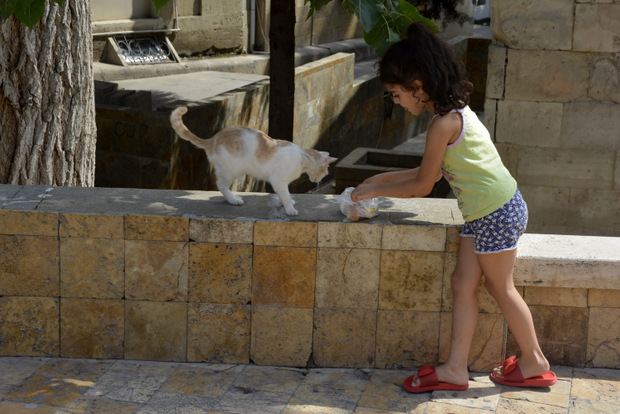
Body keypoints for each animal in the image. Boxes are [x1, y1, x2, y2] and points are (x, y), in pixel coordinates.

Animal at [170, 106, 336, 217]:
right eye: (325, 171)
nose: (320, 180)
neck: (301, 158)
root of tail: (212, 140)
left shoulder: (280, 182)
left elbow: (283, 194)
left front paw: (286, 202)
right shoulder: (278, 180)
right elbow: (285, 195)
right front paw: (290, 208)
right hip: (231, 171)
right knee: (221, 185)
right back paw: (234, 200)